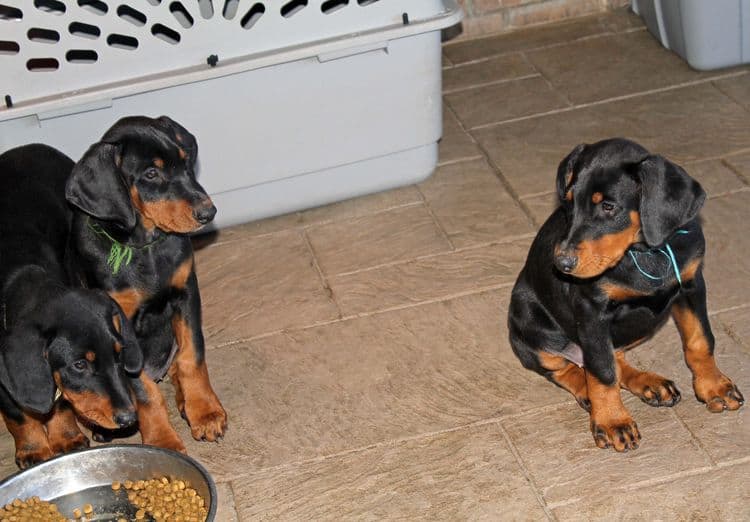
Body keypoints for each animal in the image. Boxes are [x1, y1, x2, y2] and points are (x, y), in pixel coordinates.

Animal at [0, 143, 142, 468]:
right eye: (79, 365)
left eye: (119, 354)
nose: (129, 418)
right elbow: (17, 413)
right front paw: (33, 449)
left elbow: (62, 403)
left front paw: (66, 437)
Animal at [64, 116, 229, 448]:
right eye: (151, 174)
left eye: (185, 162)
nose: (209, 212)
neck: (143, 246)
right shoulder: (120, 328)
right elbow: (143, 391)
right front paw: (162, 442)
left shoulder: (186, 293)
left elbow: (193, 356)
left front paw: (205, 411)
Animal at [512, 138, 748, 450]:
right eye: (569, 201)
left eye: (609, 207)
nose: (562, 264)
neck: (645, 252)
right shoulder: (592, 311)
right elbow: (602, 371)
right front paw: (613, 421)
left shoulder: (692, 285)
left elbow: (700, 339)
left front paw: (714, 386)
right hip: (529, 323)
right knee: (569, 367)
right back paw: (589, 393)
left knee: (615, 357)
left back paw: (650, 384)